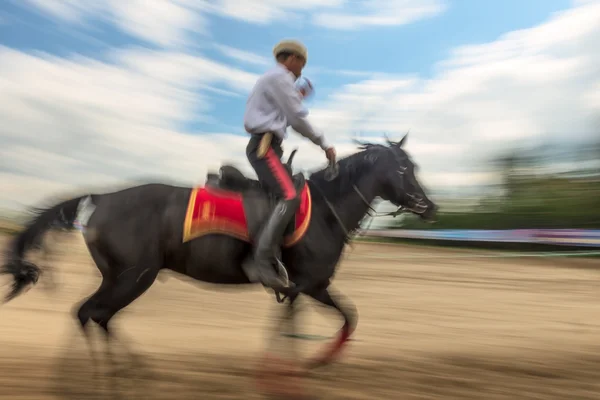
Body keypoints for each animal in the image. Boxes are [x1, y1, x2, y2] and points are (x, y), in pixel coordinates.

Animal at [1, 133, 436, 374]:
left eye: (414, 165)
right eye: (403, 168)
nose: (429, 206)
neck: (326, 211)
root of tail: (102, 198)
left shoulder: (303, 288)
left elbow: (328, 322)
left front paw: (306, 364)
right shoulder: (307, 285)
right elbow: (323, 324)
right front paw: (303, 366)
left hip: (121, 276)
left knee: (95, 316)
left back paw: (124, 370)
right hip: (133, 276)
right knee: (91, 314)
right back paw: (108, 376)